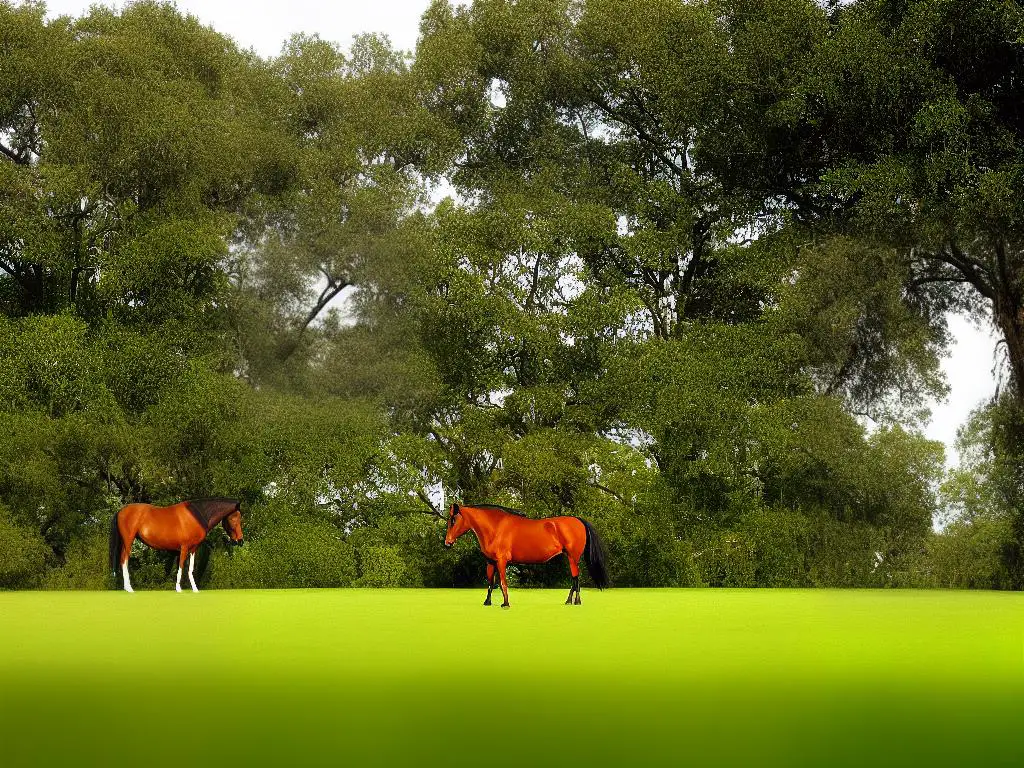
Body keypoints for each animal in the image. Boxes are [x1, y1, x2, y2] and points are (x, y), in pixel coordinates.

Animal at [108, 499, 243, 593]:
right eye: (233, 518)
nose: (240, 541)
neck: (197, 516)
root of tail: (120, 511)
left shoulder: (193, 549)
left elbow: (190, 568)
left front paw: (195, 589)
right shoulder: (184, 548)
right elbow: (181, 566)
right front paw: (178, 588)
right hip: (128, 541)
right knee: (124, 560)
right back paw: (129, 588)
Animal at [442, 501, 606, 610]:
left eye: (453, 520)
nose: (447, 543)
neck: (495, 527)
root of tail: (578, 520)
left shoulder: (501, 561)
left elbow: (502, 583)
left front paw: (505, 604)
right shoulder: (490, 562)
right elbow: (490, 582)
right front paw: (487, 602)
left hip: (573, 557)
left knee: (576, 578)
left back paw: (576, 601)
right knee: (574, 578)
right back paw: (569, 601)